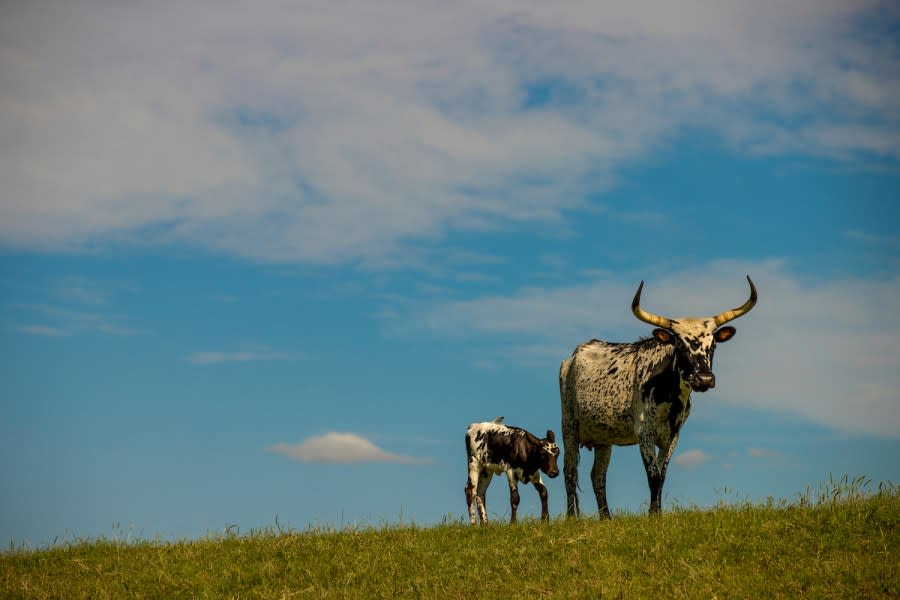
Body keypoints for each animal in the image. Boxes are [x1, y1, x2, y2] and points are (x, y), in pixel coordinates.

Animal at [560, 276, 756, 516]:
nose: (704, 379)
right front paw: (653, 514)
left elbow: (661, 476)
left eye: (713, 346)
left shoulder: (672, 436)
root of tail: (574, 355)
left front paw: (658, 512)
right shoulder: (644, 433)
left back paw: (606, 517)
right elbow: (653, 475)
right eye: (680, 345)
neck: (670, 394)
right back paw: (572, 517)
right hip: (569, 426)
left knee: (597, 476)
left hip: (603, 438)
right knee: (570, 473)